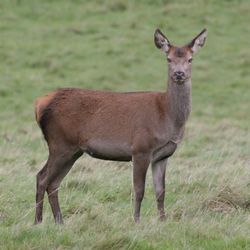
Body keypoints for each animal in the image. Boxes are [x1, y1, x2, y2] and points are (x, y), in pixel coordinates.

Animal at [34, 27, 208, 225]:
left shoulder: (163, 155)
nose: (179, 74)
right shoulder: (140, 148)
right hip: (60, 143)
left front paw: (163, 220)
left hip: (73, 150)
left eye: (190, 59)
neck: (168, 118)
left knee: (54, 183)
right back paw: (38, 222)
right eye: (168, 59)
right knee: (42, 178)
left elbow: (161, 191)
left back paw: (60, 222)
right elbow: (139, 190)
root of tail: (40, 104)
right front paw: (137, 221)